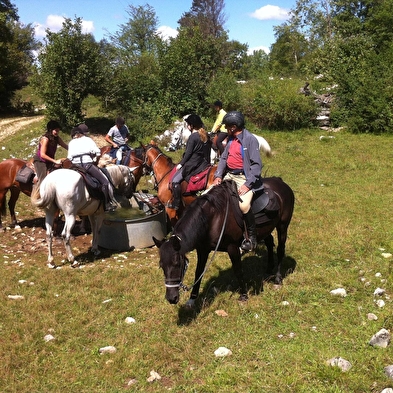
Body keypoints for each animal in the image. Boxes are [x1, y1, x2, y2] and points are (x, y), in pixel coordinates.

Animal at [153, 178, 294, 306]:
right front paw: (192, 299)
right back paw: (269, 269)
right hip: (266, 229)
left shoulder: (232, 247)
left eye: (177, 264)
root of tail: (281, 182)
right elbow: (199, 272)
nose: (171, 298)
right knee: (269, 242)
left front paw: (243, 296)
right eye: (161, 265)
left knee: (280, 250)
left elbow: (238, 270)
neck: (213, 218)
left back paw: (277, 279)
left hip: (282, 226)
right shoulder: (203, 250)